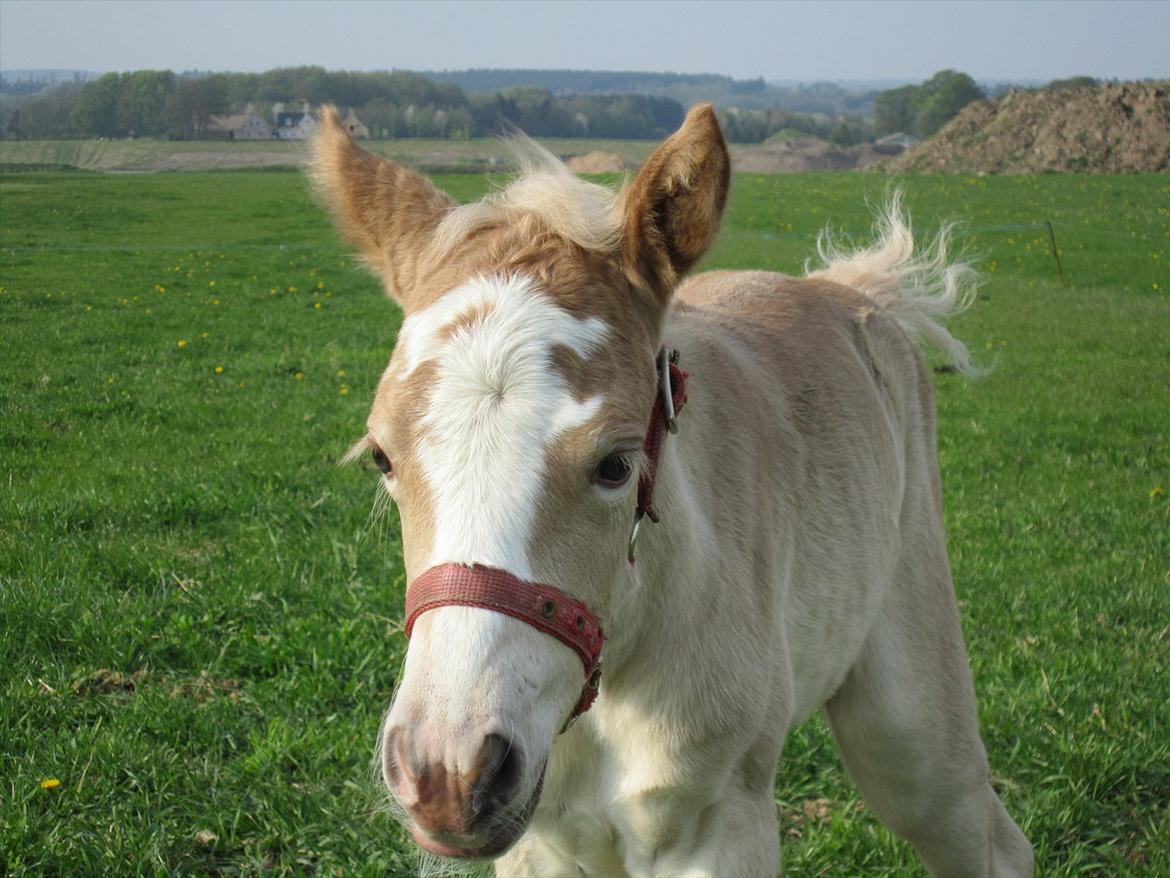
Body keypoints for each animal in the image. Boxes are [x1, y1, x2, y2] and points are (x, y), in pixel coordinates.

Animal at [313, 104, 1034, 878]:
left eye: (616, 465)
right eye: (382, 457)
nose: (450, 775)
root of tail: (853, 290)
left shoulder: (718, 827)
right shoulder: (541, 845)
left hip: (913, 731)